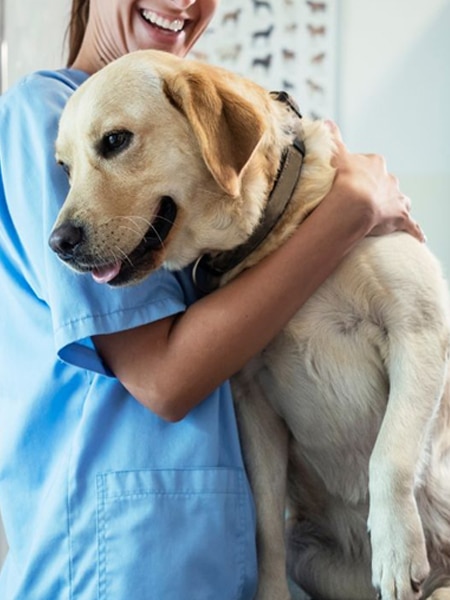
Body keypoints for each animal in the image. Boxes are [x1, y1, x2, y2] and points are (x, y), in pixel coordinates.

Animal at [48, 51, 450, 600]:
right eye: (63, 169)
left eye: (114, 141)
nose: (58, 243)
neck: (276, 235)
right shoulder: (252, 401)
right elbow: (263, 526)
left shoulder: (419, 329)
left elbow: (389, 456)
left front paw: (394, 549)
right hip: (311, 557)